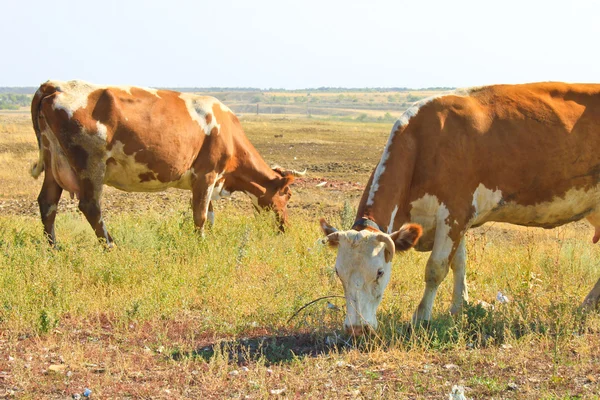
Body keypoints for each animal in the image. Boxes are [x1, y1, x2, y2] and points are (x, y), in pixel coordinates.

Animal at [29, 79, 302, 245]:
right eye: (287, 196)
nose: (286, 227)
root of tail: (56, 85)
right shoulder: (207, 174)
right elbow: (200, 216)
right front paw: (200, 244)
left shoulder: (205, 181)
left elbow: (209, 214)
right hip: (90, 163)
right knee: (90, 206)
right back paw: (111, 245)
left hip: (54, 161)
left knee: (48, 203)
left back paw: (54, 248)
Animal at [324, 81, 600, 334]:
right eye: (338, 272)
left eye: (380, 272)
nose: (357, 328)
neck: (423, 142)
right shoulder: (456, 220)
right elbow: (459, 263)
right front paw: (458, 308)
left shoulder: (455, 211)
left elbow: (436, 269)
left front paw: (421, 317)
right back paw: (587, 306)